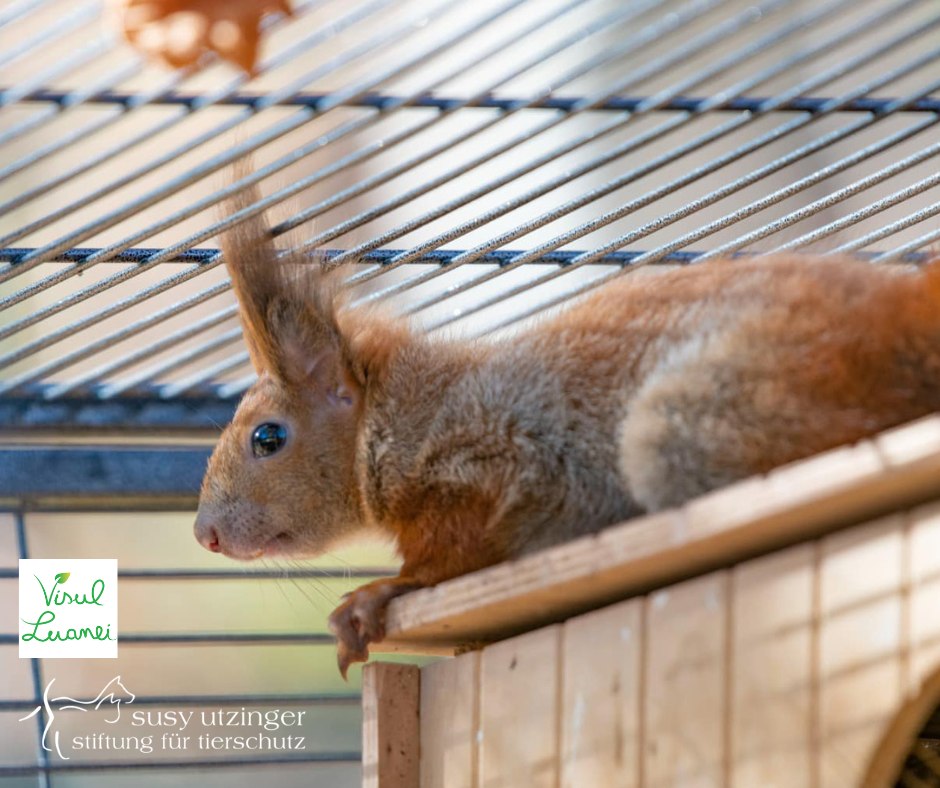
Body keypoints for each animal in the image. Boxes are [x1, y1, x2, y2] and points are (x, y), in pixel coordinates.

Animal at [195, 180, 940, 676]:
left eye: (267, 438)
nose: (204, 535)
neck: (411, 407)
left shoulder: (500, 458)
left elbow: (454, 551)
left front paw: (380, 594)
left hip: (690, 421)